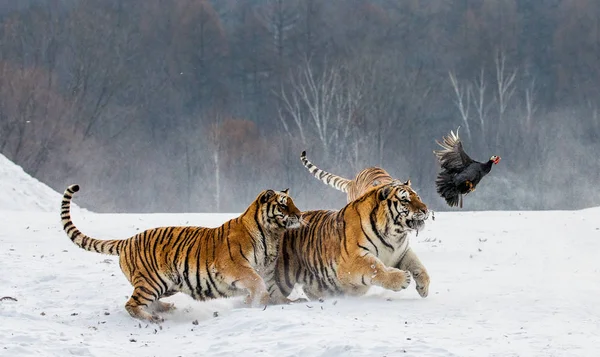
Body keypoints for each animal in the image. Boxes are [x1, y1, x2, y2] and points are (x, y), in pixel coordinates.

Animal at [268, 179, 432, 302]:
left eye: (418, 197)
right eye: (405, 200)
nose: (425, 210)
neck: (394, 235)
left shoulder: (400, 252)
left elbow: (419, 266)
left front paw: (423, 288)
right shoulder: (352, 259)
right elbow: (375, 267)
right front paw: (402, 278)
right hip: (282, 278)